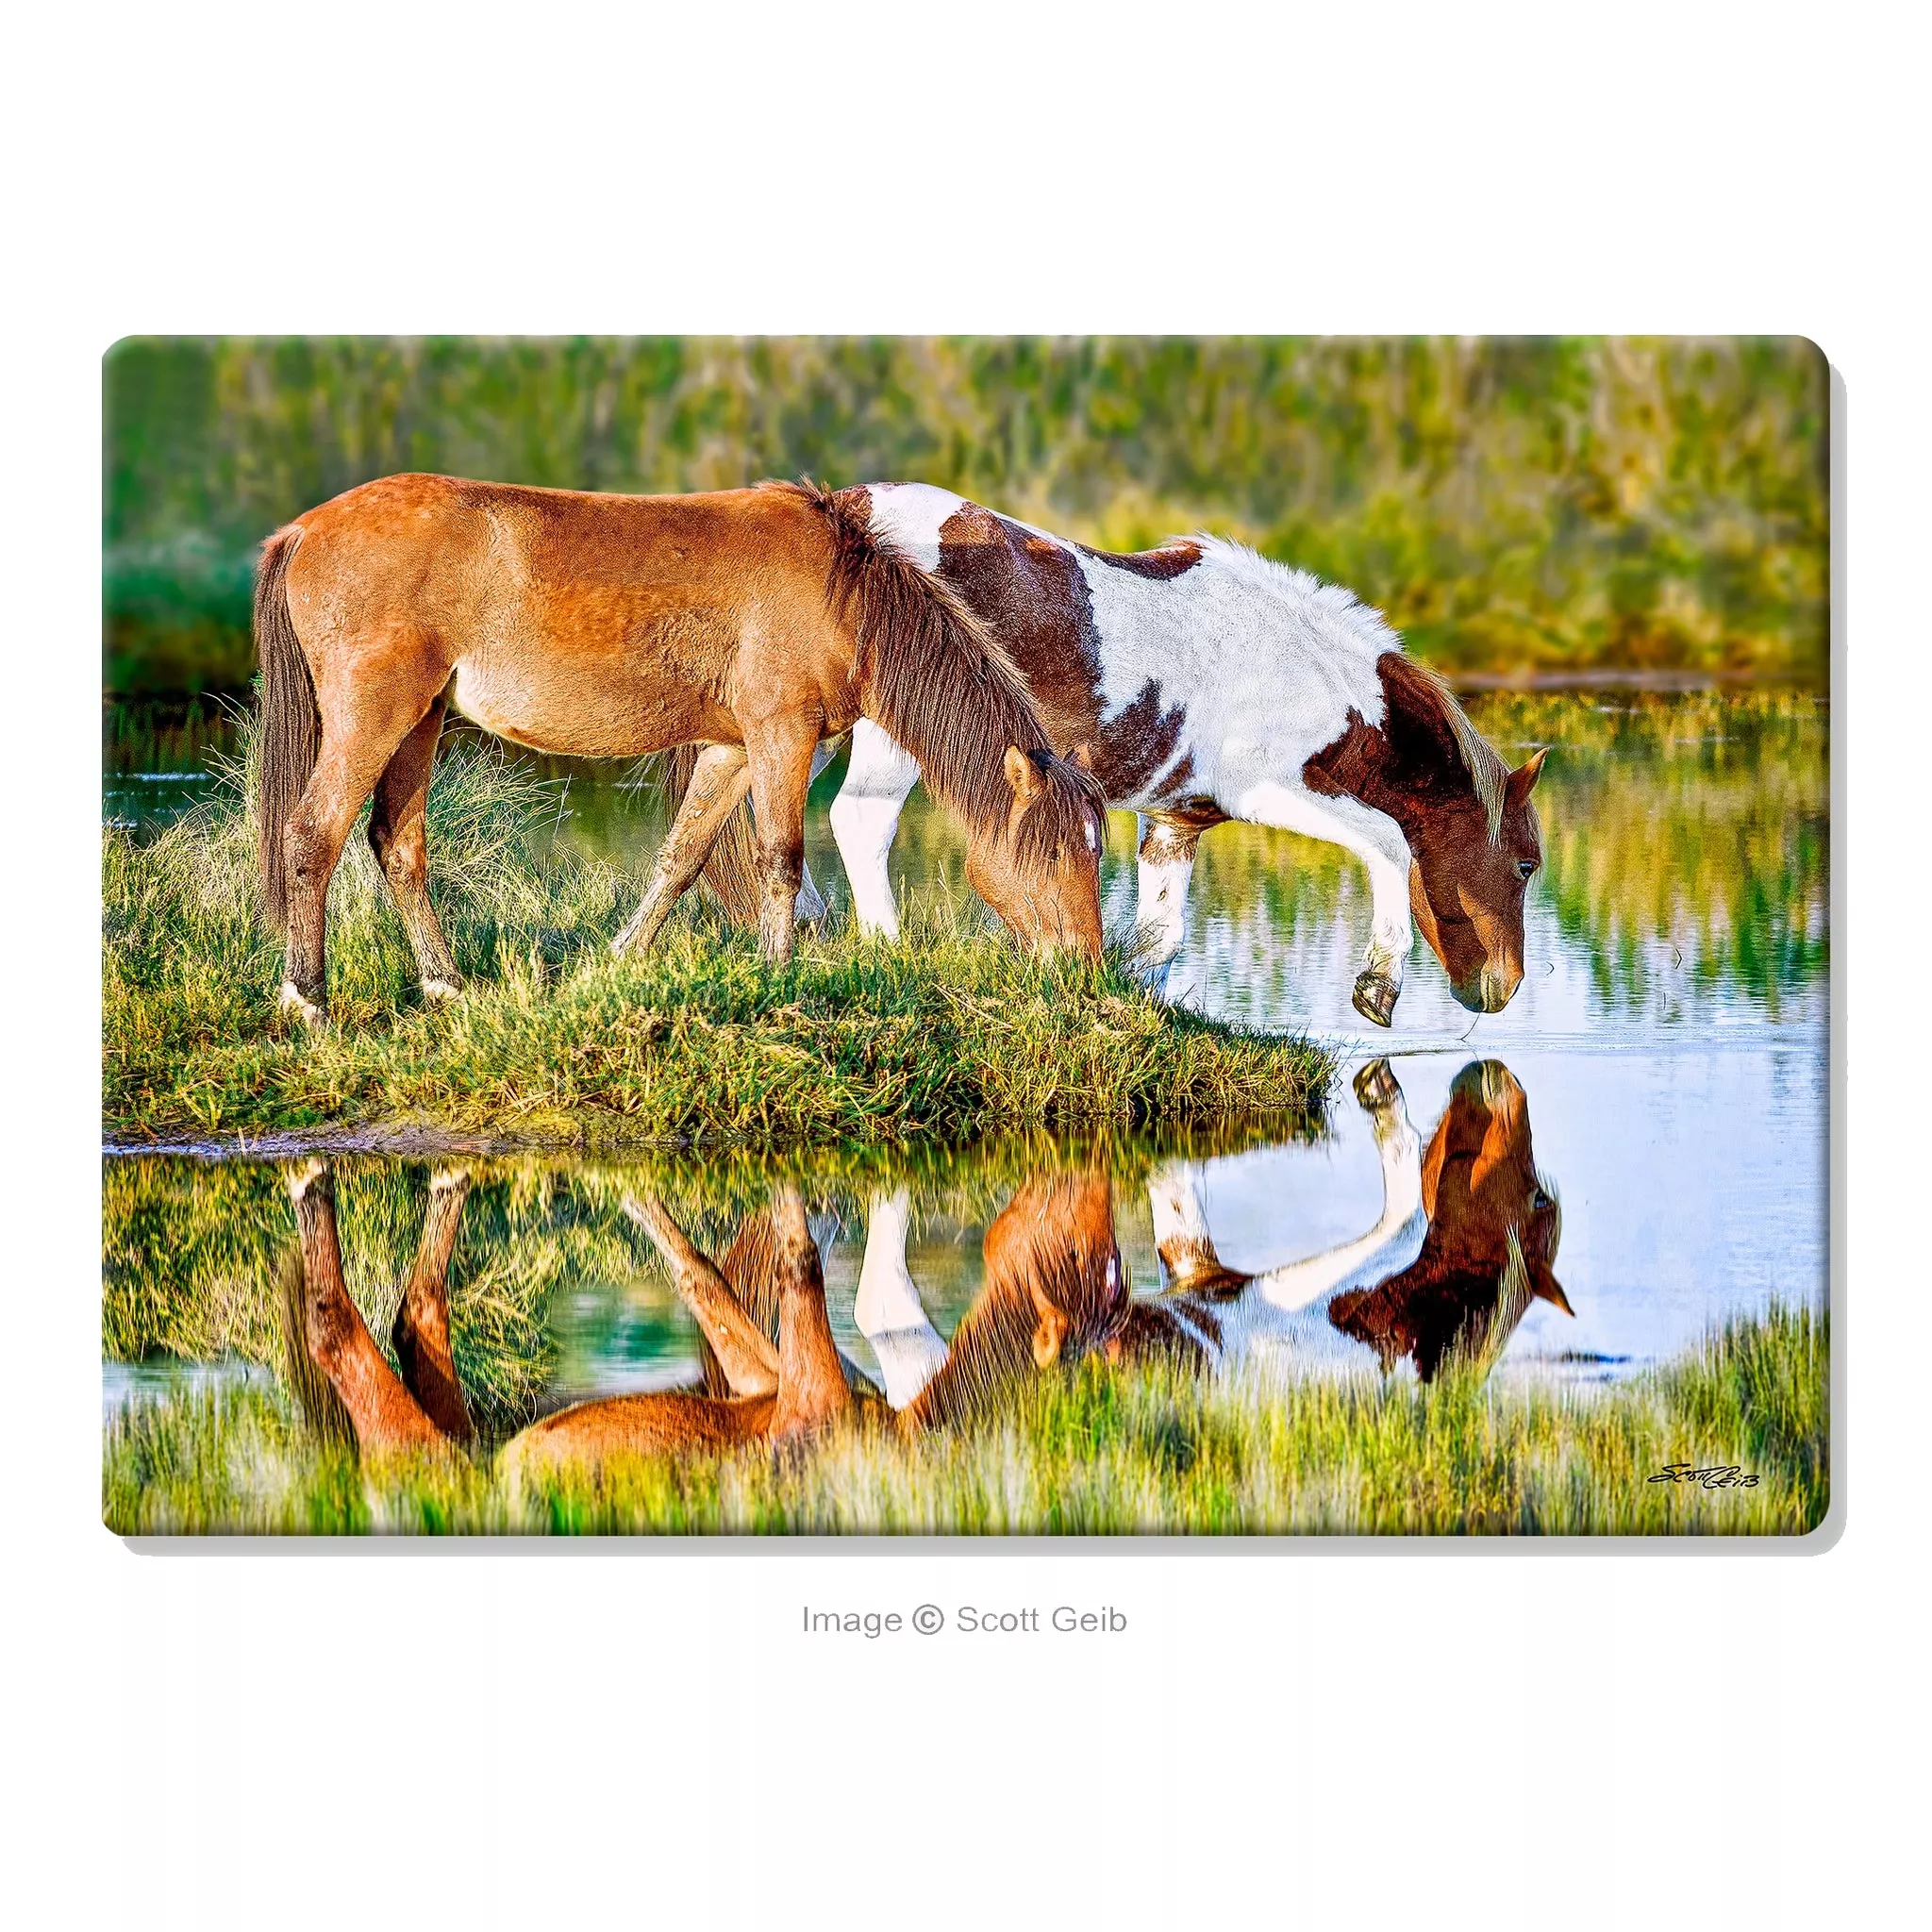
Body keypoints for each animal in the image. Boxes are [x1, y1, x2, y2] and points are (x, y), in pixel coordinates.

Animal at [252, 474, 1106, 1025]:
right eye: (1057, 852)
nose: (1088, 973)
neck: (844, 592)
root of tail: (303, 530)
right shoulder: (780, 735)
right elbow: (780, 860)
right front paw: (777, 978)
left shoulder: (731, 750)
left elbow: (681, 857)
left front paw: (618, 962)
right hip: (374, 717)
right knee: (313, 834)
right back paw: (308, 1001)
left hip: (420, 720)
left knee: (397, 843)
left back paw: (445, 986)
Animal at [688, 484, 1547, 1026]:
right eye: (1528, 864)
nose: (1504, 990)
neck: (1305, 668)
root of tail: (848, 514)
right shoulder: (1267, 789)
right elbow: (1389, 842)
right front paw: (1378, 986)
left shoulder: (1178, 820)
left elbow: (1160, 937)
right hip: (892, 734)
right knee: (858, 822)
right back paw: (884, 953)